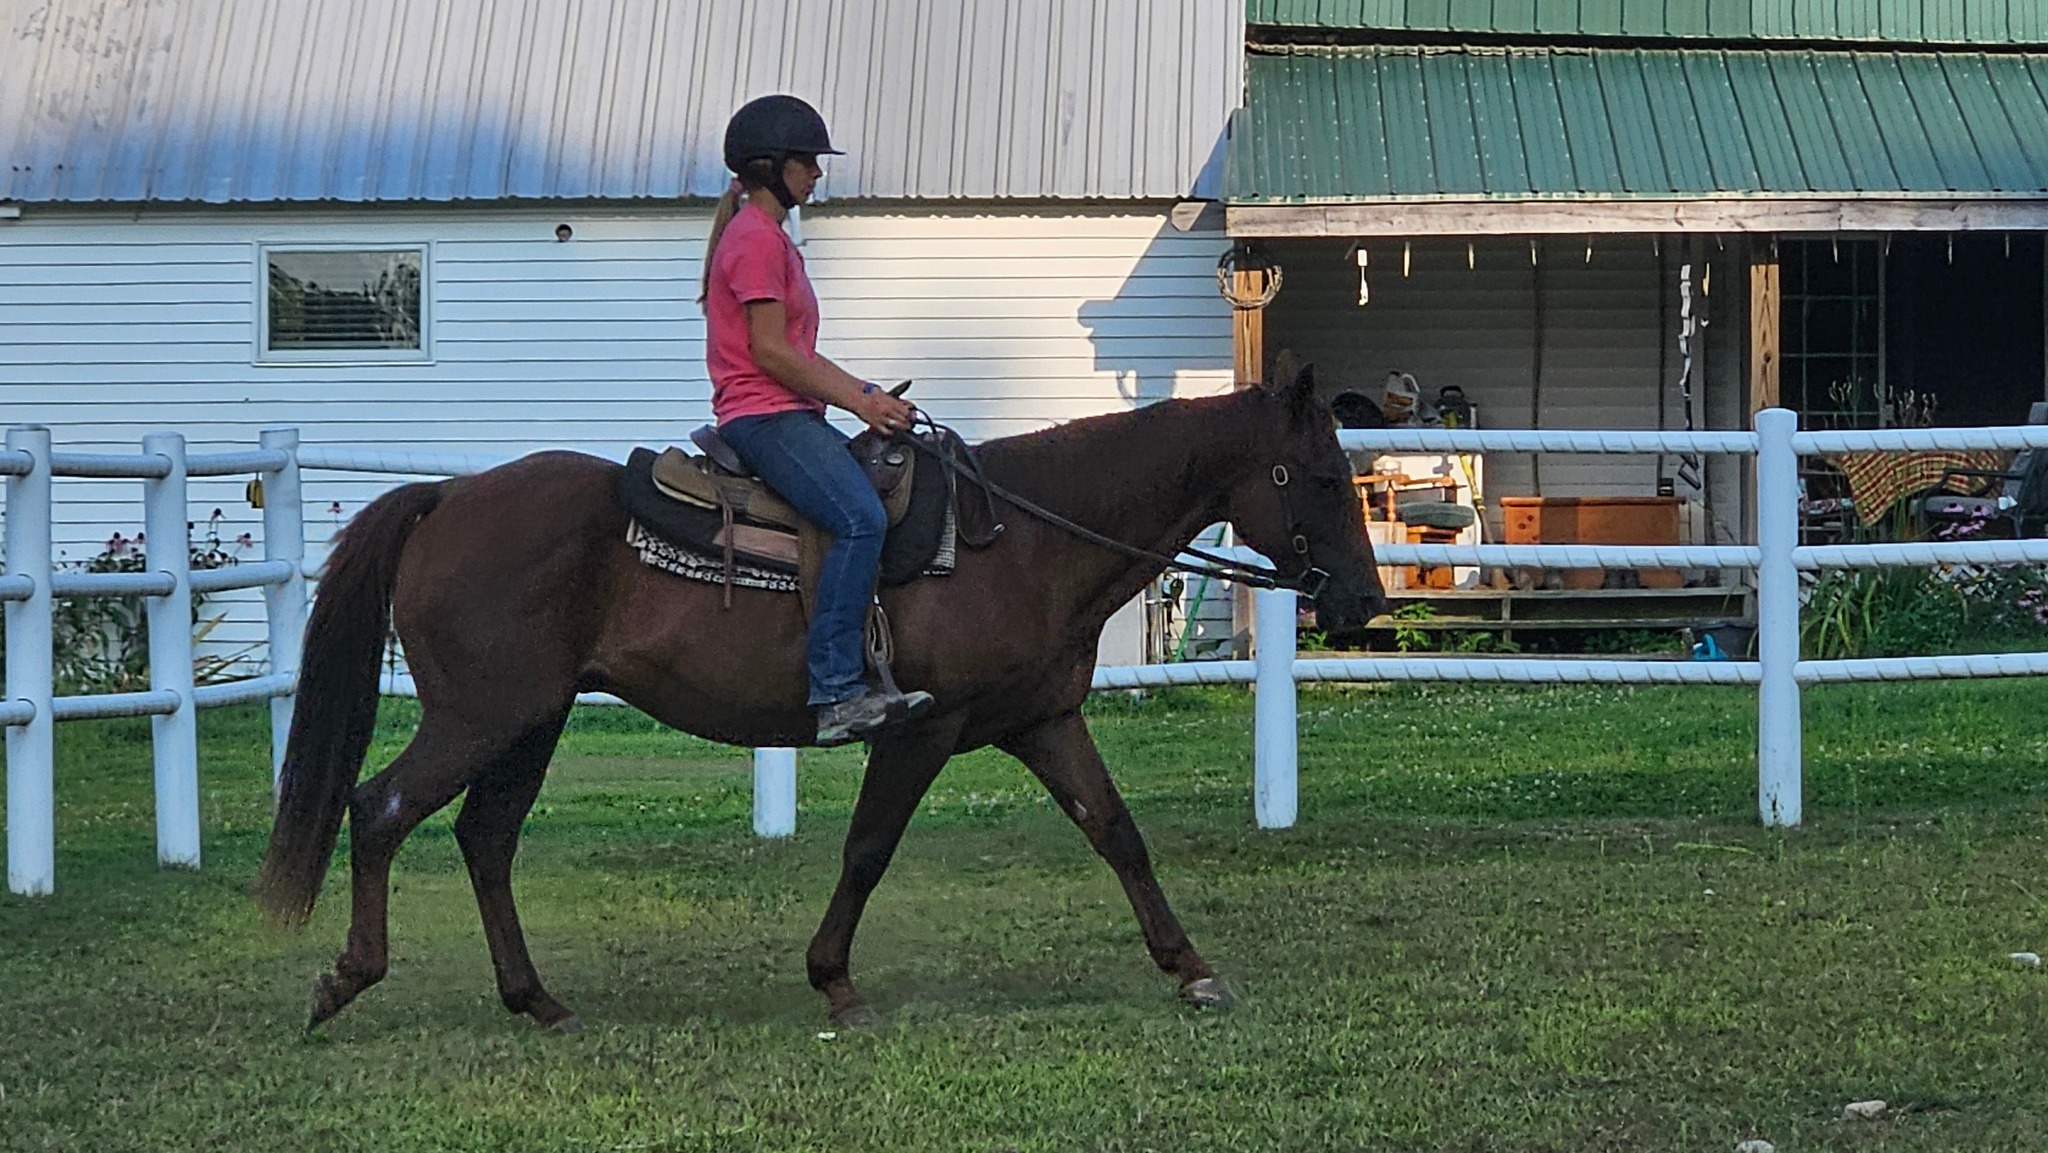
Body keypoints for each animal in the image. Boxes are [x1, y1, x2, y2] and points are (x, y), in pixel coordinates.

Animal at [256, 368, 1387, 1032]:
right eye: (1325, 477)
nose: (1367, 602)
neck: (1020, 537)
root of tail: (448, 496)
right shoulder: (922, 727)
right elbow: (868, 848)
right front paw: (832, 977)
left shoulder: (1041, 722)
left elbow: (1118, 834)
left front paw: (1189, 965)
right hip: (477, 716)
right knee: (381, 808)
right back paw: (346, 975)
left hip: (530, 719)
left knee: (485, 839)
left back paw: (533, 997)